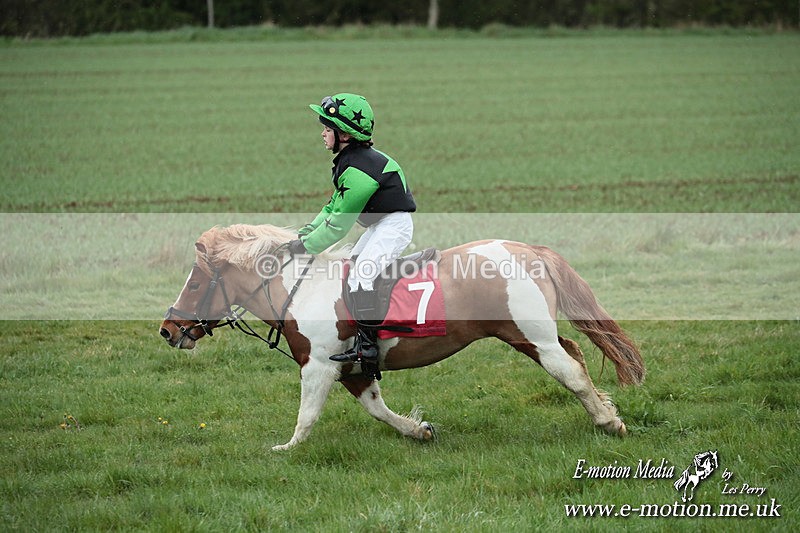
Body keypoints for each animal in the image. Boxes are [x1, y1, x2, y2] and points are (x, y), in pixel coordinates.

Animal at [159, 224, 645, 450]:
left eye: (196, 284)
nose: (168, 330)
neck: (297, 287)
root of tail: (529, 250)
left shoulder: (318, 366)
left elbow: (306, 415)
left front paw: (286, 448)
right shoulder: (353, 368)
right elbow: (377, 409)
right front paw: (419, 431)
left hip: (530, 335)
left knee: (571, 372)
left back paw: (609, 422)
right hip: (531, 337)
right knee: (575, 356)